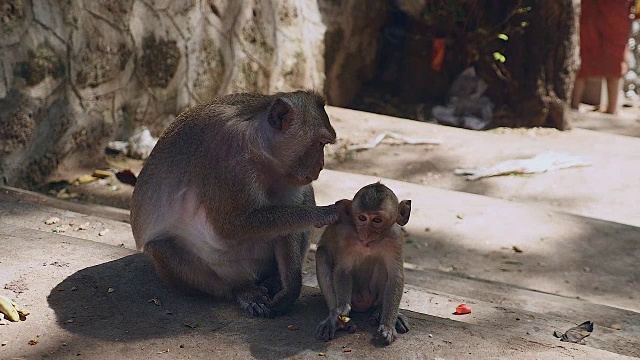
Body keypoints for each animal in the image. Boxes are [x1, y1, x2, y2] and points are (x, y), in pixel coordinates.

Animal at [127, 90, 342, 318]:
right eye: (320, 143)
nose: (321, 165)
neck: (259, 149)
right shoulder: (225, 156)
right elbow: (228, 227)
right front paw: (324, 213)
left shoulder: (288, 174)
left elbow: (288, 226)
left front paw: (290, 290)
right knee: (162, 247)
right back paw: (242, 289)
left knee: (306, 195)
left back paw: (274, 280)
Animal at [314, 183, 410, 346]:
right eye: (362, 218)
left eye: (377, 220)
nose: (366, 233)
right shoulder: (345, 235)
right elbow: (343, 271)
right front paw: (342, 308)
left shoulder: (395, 237)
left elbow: (395, 276)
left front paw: (388, 325)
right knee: (321, 253)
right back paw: (335, 319)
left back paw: (381, 311)